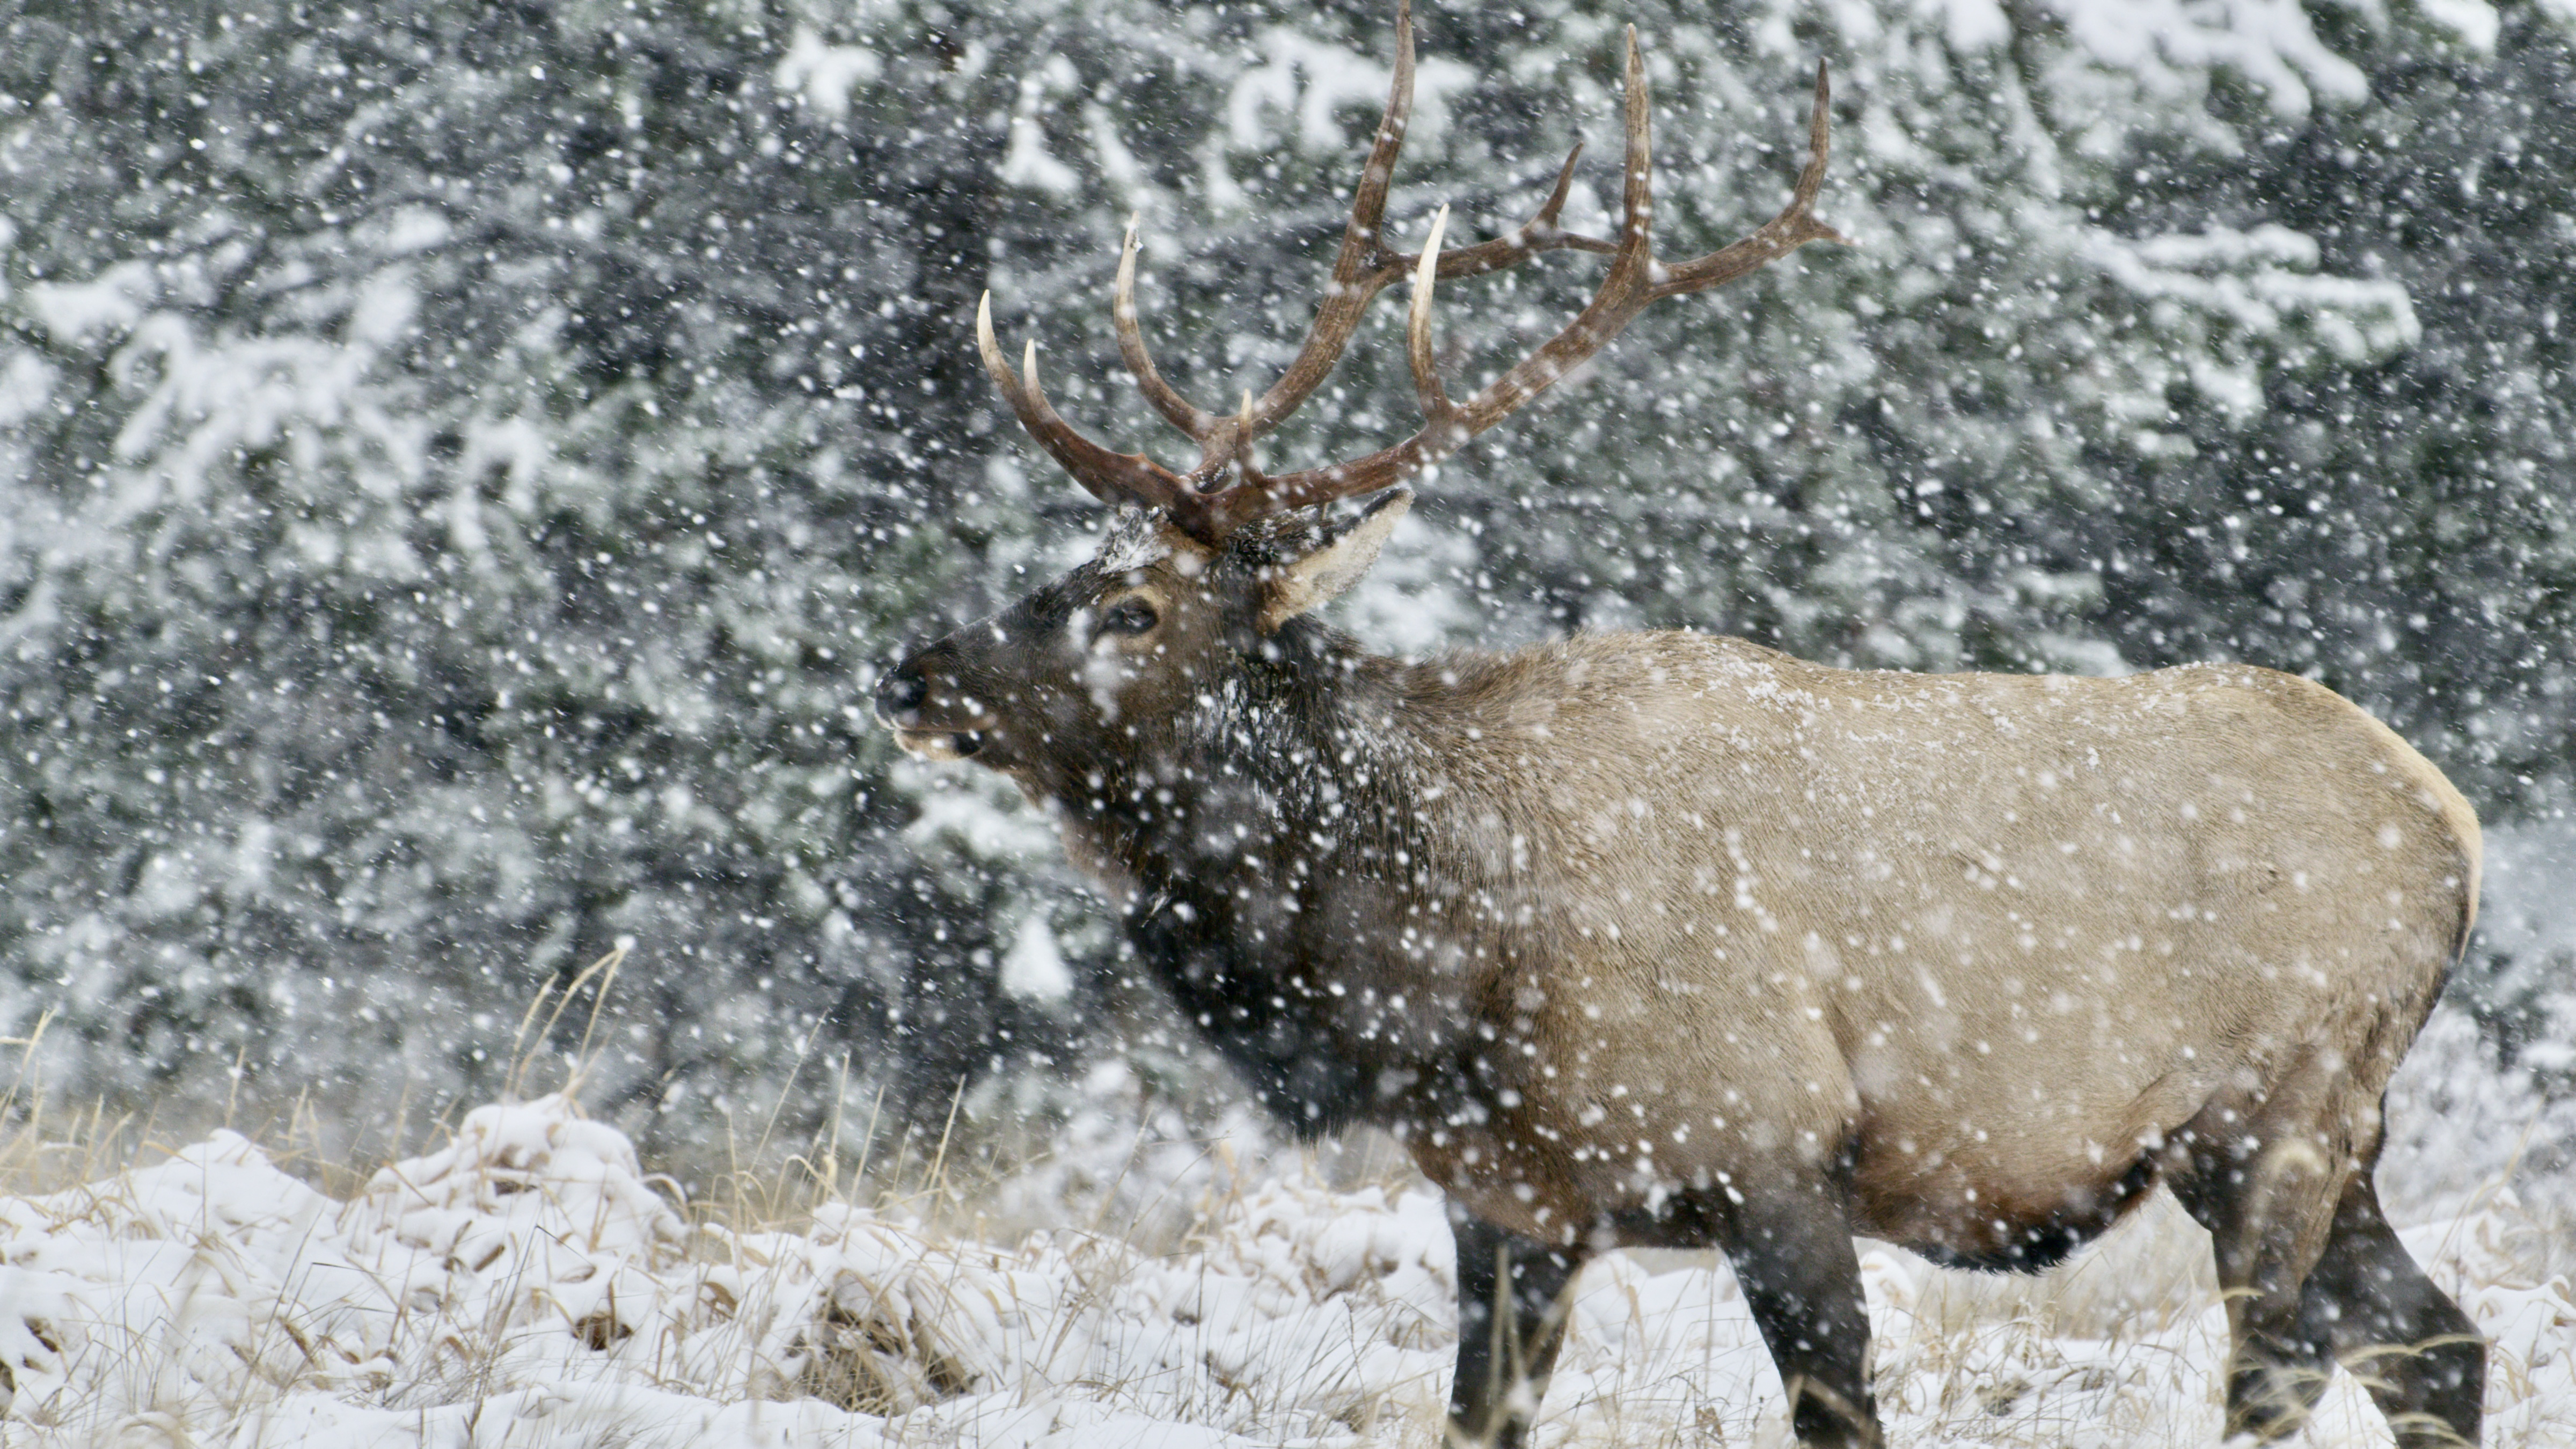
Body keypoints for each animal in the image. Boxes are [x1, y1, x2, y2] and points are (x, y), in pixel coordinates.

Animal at [873, 6, 2487, 1446]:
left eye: (1133, 606)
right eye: (1070, 560)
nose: (913, 674)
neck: (1442, 963)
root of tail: (2455, 826)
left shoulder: (1775, 1155)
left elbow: (1841, 1411)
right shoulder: (1508, 1203)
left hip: (2284, 1102)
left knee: (2284, 1364)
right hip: (2312, 1137)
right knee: (2436, 1345)